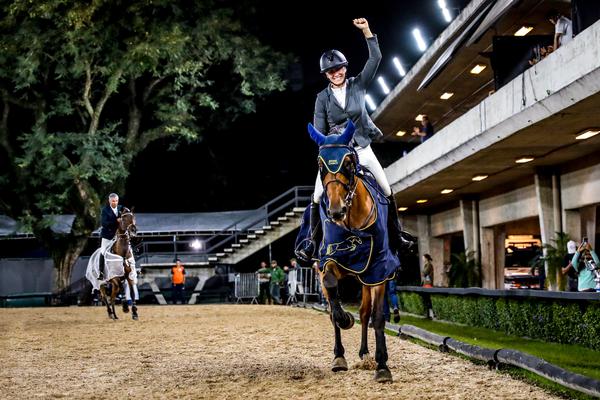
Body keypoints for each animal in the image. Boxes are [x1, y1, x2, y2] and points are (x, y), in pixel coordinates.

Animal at [304, 120, 398, 382]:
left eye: (348, 163)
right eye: (320, 165)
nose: (336, 211)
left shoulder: (378, 269)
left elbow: (377, 317)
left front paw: (382, 366)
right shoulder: (328, 260)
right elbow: (332, 294)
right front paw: (345, 319)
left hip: (366, 278)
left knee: (366, 313)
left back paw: (366, 354)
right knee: (339, 311)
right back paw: (340, 356)